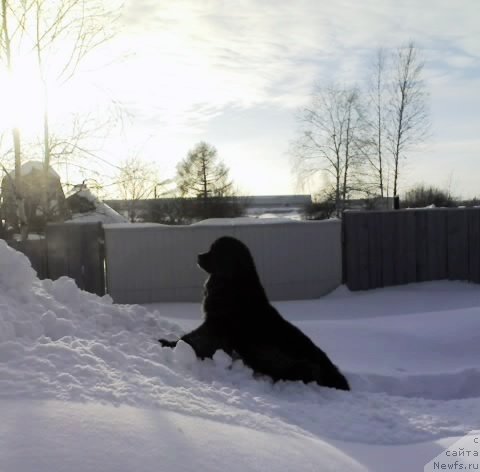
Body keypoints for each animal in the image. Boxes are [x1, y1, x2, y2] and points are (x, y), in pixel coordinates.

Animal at [159, 236, 350, 390]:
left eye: (215, 250)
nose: (199, 255)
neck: (232, 283)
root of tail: (334, 372)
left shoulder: (215, 327)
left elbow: (193, 340)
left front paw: (167, 343)